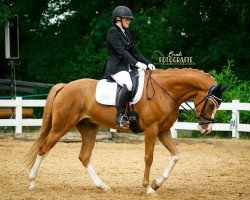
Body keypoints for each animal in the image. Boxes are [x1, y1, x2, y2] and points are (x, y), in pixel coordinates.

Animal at [24, 68, 225, 194]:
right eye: (210, 104)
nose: (205, 129)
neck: (165, 90)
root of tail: (65, 86)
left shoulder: (163, 131)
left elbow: (176, 155)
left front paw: (157, 183)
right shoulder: (152, 130)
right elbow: (149, 157)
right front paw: (148, 187)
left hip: (89, 128)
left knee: (84, 156)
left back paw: (103, 186)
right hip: (61, 127)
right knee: (43, 149)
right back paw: (32, 182)